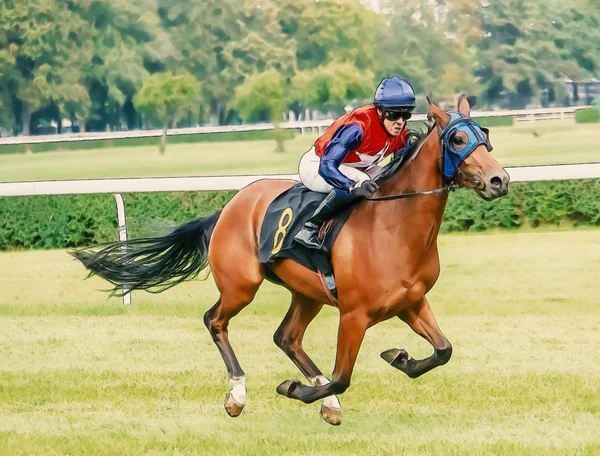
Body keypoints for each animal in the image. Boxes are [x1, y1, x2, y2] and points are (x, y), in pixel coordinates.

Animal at [71, 96, 510, 424]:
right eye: (457, 139)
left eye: (485, 134)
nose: (499, 180)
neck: (393, 226)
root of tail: (227, 208)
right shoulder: (354, 314)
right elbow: (342, 377)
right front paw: (295, 389)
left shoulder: (411, 302)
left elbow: (443, 350)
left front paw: (399, 357)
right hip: (241, 286)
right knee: (215, 321)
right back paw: (238, 393)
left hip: (308, 293)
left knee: (287, 337)